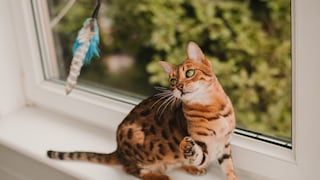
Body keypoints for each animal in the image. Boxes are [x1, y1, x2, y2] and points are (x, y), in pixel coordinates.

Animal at [47, 41, 238, 179]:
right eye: (173, 81)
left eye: (190, 73)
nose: (180, 87)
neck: (214, 109)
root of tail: (118, 150)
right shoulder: (203, 144)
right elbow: (197, 154)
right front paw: (189, 150)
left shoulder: (224, 145)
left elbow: (229, 168)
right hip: (133, 137)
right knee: (132, 170)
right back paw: (160, 177)